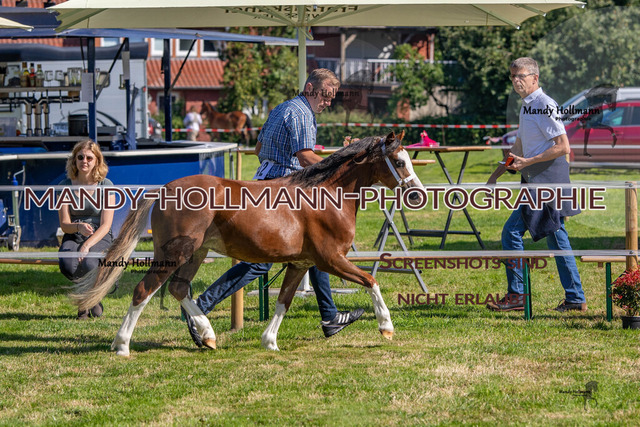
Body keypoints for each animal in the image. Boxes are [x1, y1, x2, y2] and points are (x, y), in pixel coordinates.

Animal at [69, 131, 424, 356]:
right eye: (400, 162)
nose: (417, 194)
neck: (325, 196)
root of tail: (164, 189)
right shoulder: (330, 259)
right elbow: (371, 281)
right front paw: (386, 327)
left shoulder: (302, 263)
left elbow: (283, 301)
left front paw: (270, 342)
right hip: (175, 253)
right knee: (145, 290)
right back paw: (122, 346)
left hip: (196, 253)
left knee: (179, 289)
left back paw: (207, 336)